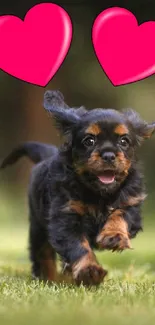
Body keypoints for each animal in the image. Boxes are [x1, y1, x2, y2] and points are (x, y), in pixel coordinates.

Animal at [1, 90, 155, 284]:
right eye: (89, 141)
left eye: (124, 141)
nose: (109, 155)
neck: (99, 193)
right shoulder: (65, 217)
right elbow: (78, 246)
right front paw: (89, 271)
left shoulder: (131, 204)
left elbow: (120, 215)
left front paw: (114, 236)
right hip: (38, 227)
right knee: (42, 254)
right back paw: (50, 278)